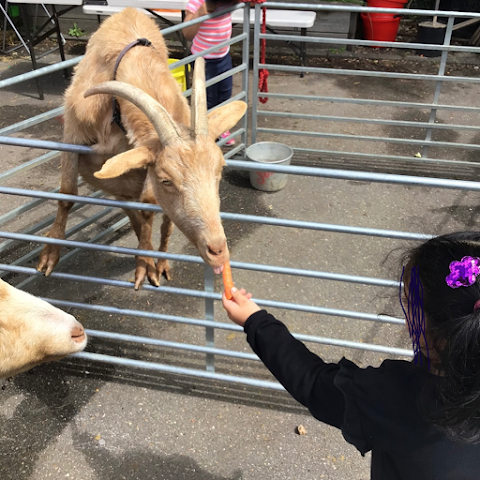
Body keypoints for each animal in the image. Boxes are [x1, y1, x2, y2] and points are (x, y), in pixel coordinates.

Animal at [36, 8, 248, 288]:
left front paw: (147, 265)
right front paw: (49, 255)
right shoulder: (74, 134)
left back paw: (159, 262)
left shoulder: (142, 165)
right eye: (166, 180)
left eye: (221, 169)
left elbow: (149, 210)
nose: (218, 251)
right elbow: (67, 194)